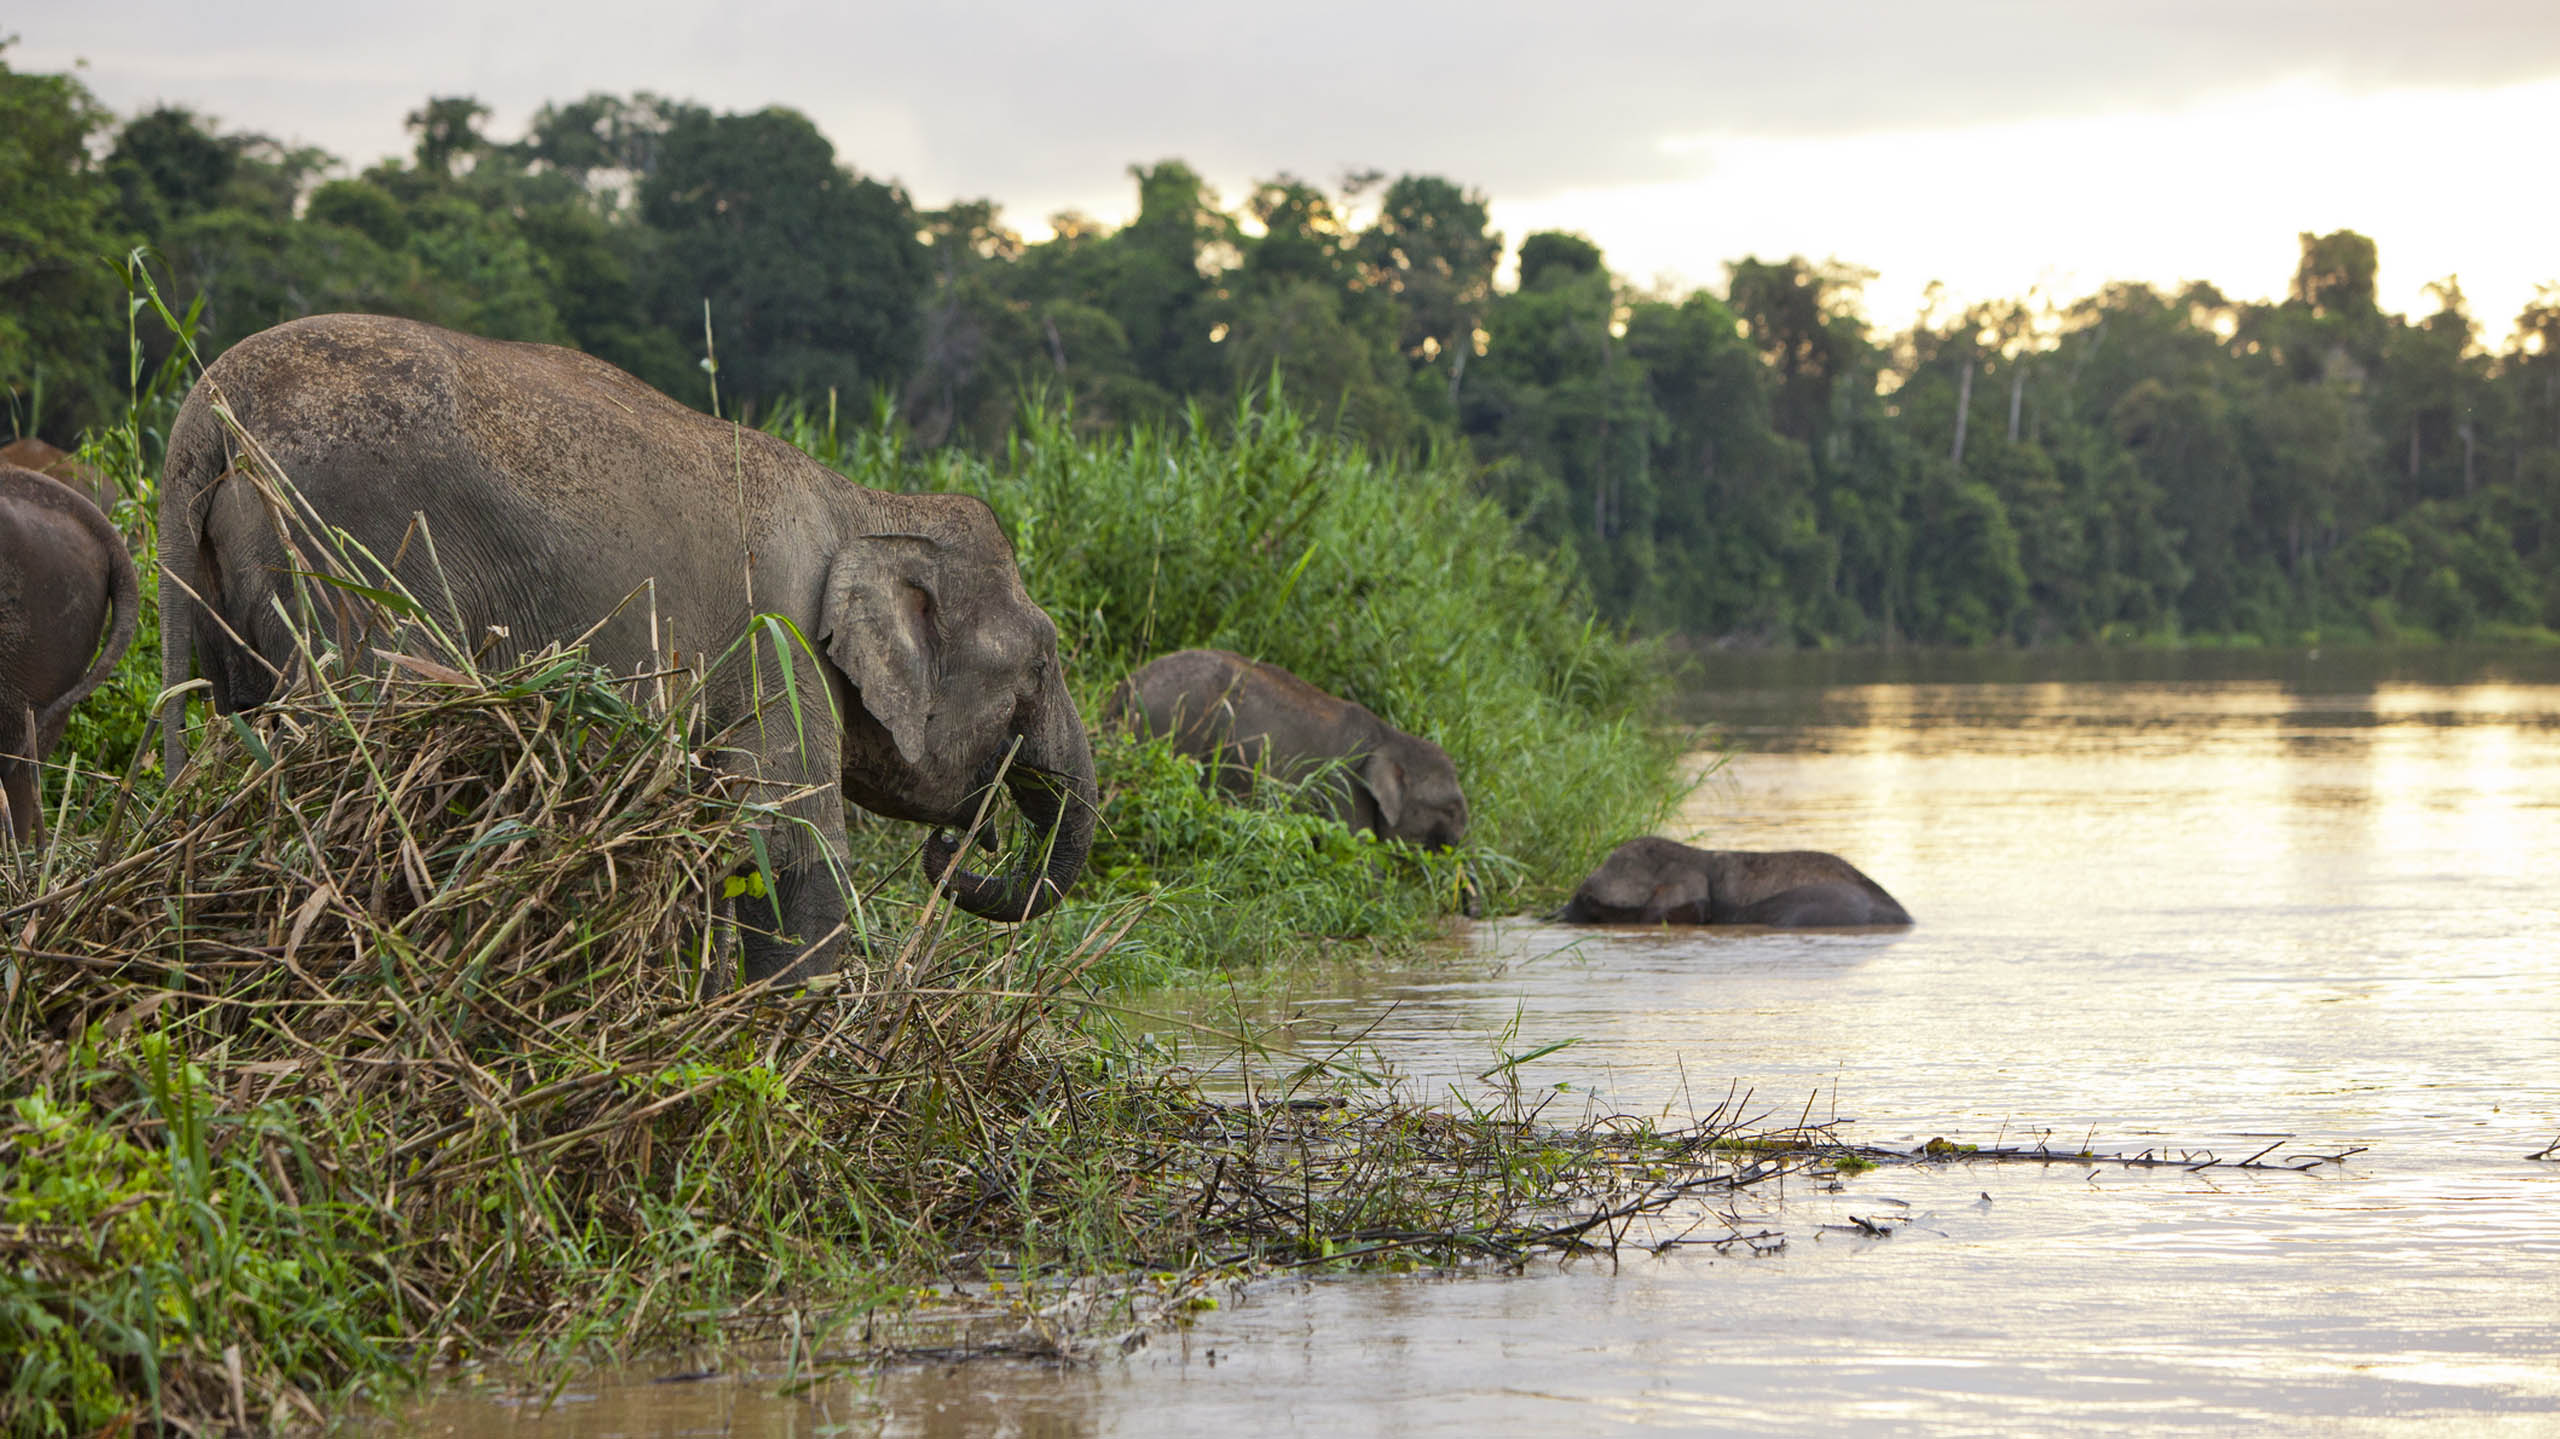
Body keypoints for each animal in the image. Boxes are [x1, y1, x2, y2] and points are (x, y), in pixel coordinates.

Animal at [158, 313, 1095, 982]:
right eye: (1042, 662)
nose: (968, 839)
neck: (868, 503)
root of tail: (204, 418)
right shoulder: (779, 638)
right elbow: (792, 848)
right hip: (355, 567)